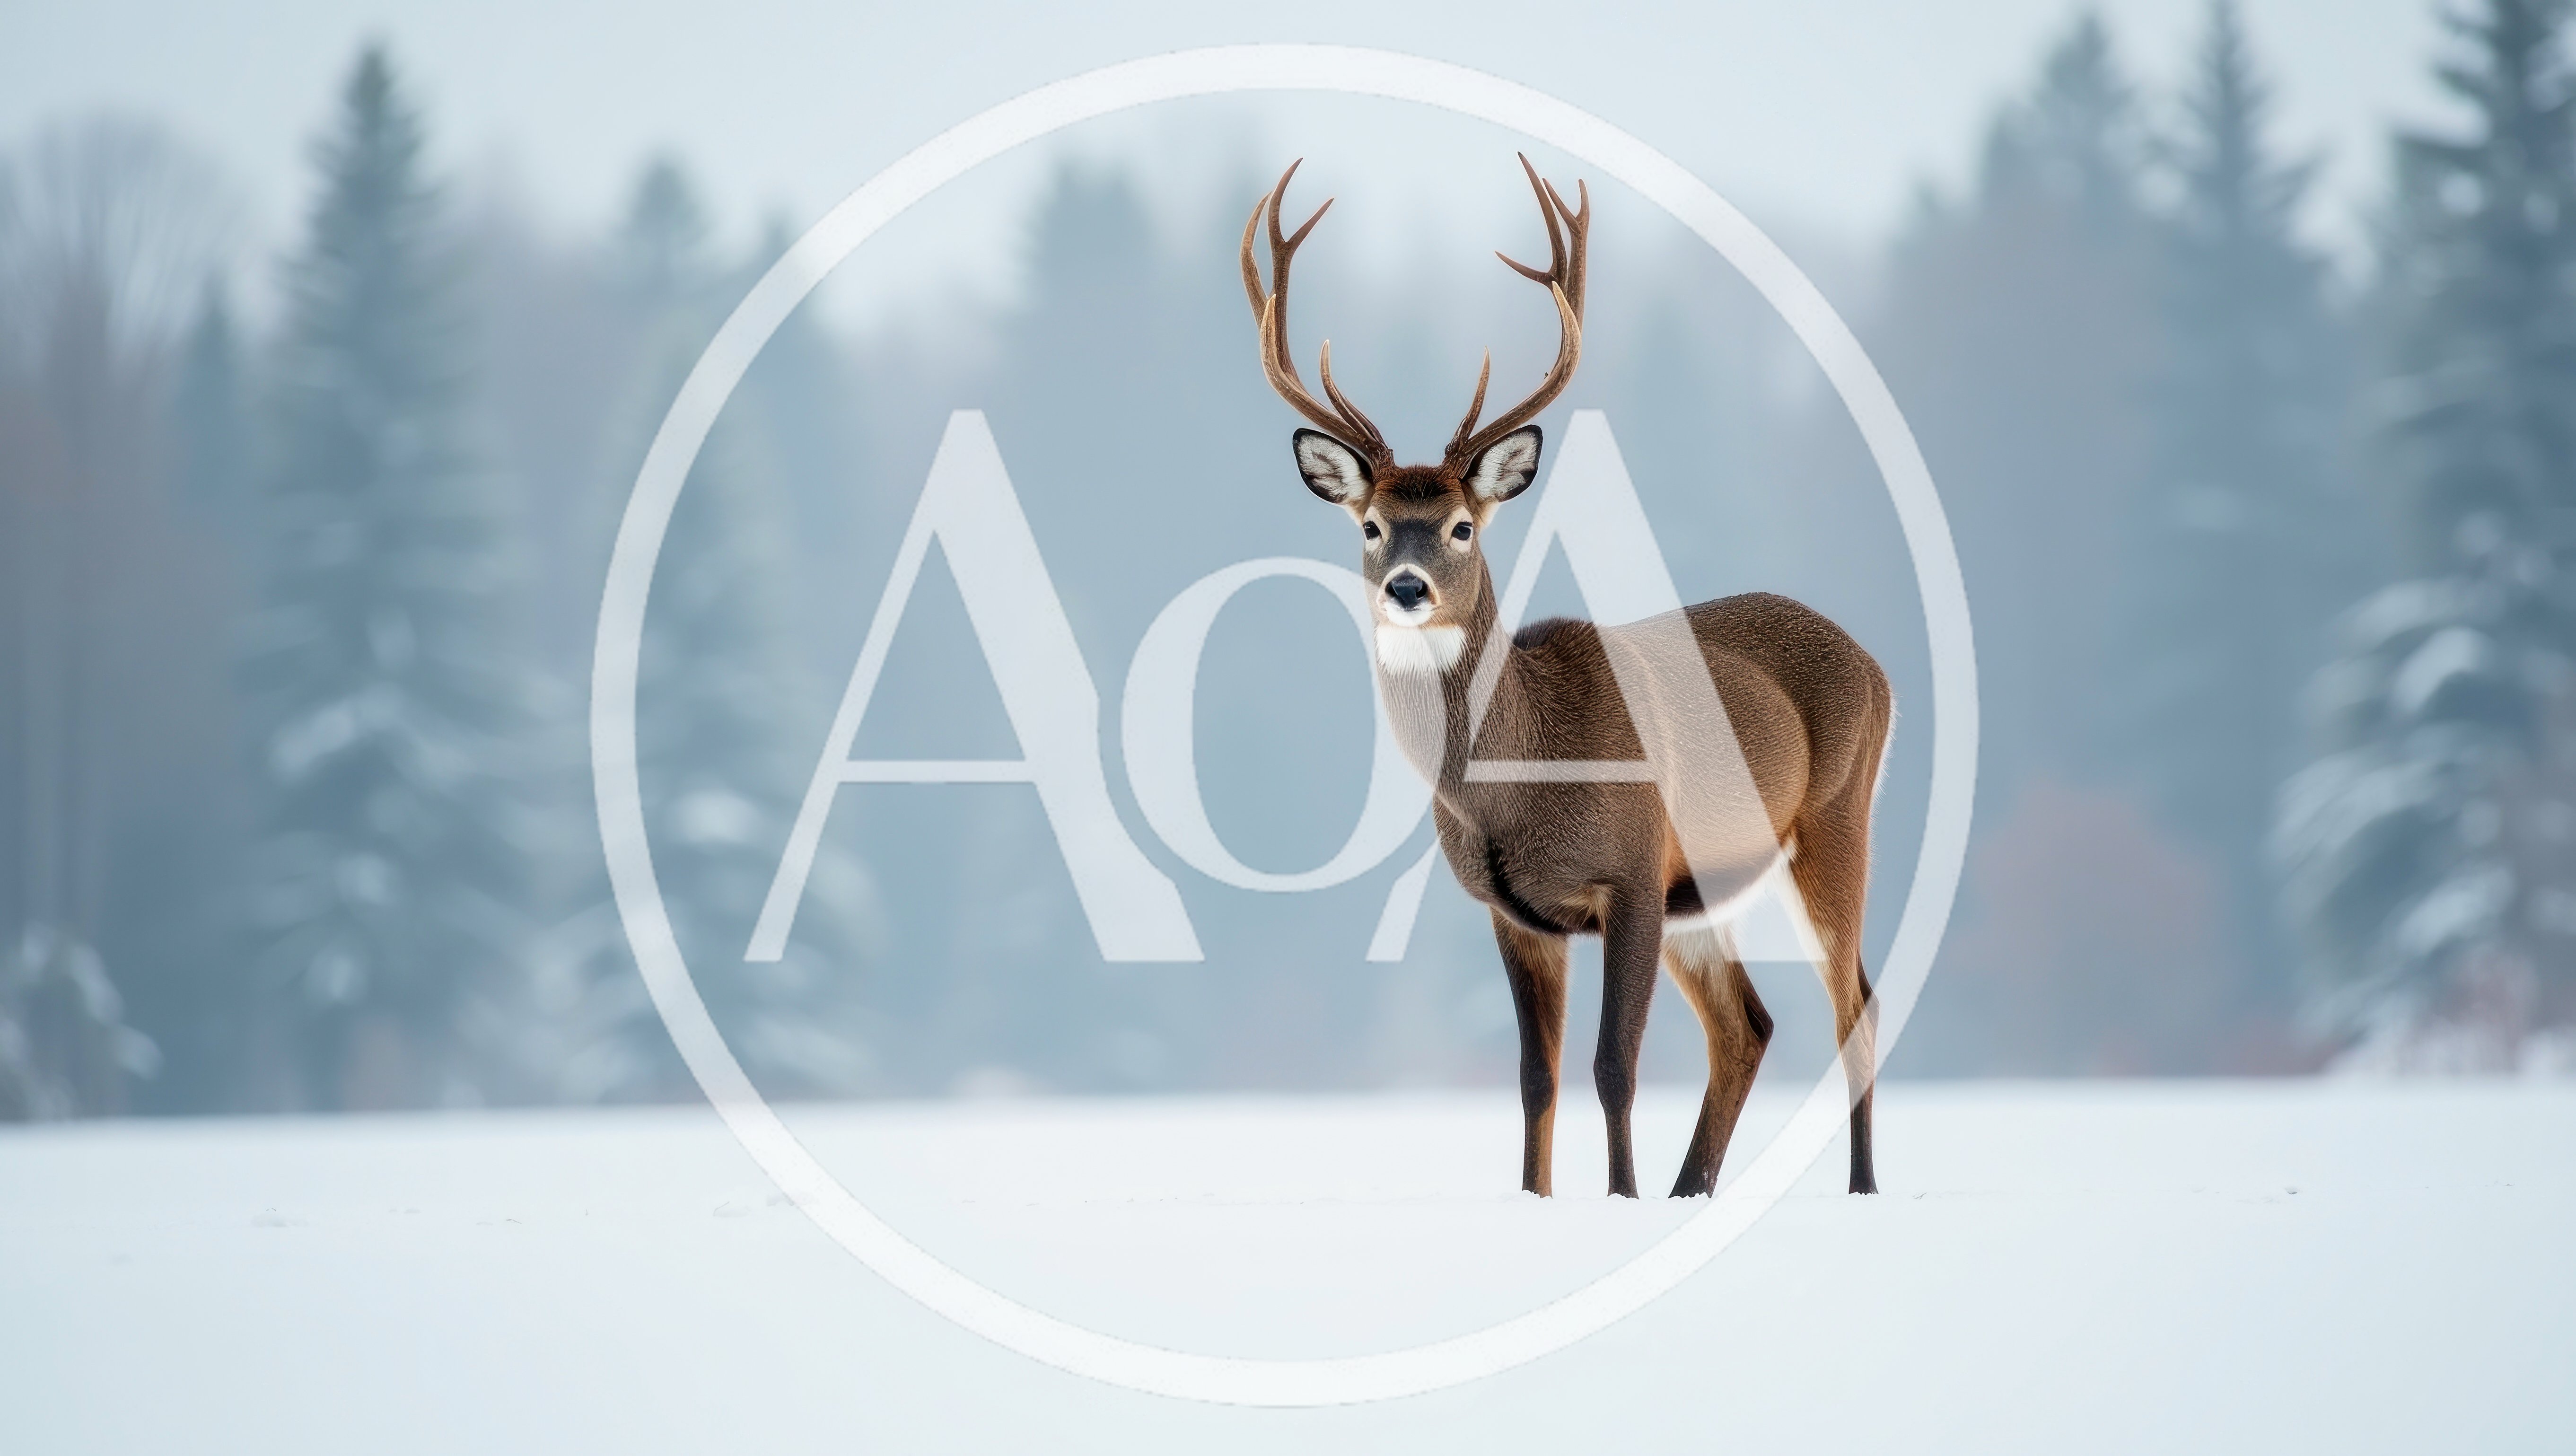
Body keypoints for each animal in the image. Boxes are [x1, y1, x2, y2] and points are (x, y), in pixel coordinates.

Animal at [1242, 157, 1891, 1199]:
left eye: (1462, 525)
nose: (1407, 586)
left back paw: (1855, 1188)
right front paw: (1540, 1199)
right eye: (1371, 525)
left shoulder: (1630, 872)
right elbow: (1534, 1076)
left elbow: (1612, 1065)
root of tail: (1873, 663)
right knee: (1748, 1026)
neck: (1515, 781)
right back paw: (1690, 1189)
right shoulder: (1514, 912)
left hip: (1835, 820)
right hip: (1707, 891)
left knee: (1853, 1005)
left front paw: (1618, 1198)